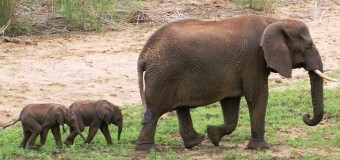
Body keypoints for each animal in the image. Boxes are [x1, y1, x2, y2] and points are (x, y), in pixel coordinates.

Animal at [136, 14, 338, 151]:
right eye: (308, 46)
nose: (306, 115)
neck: (273, 21)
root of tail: (144, 54)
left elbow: (231, 102)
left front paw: (213, 135)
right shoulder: (254, 59)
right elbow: (258, 96)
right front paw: (262, 148)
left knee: (180, 107)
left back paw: (195, 142)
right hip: (163, 75)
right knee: (155, 110)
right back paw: (148, 151)